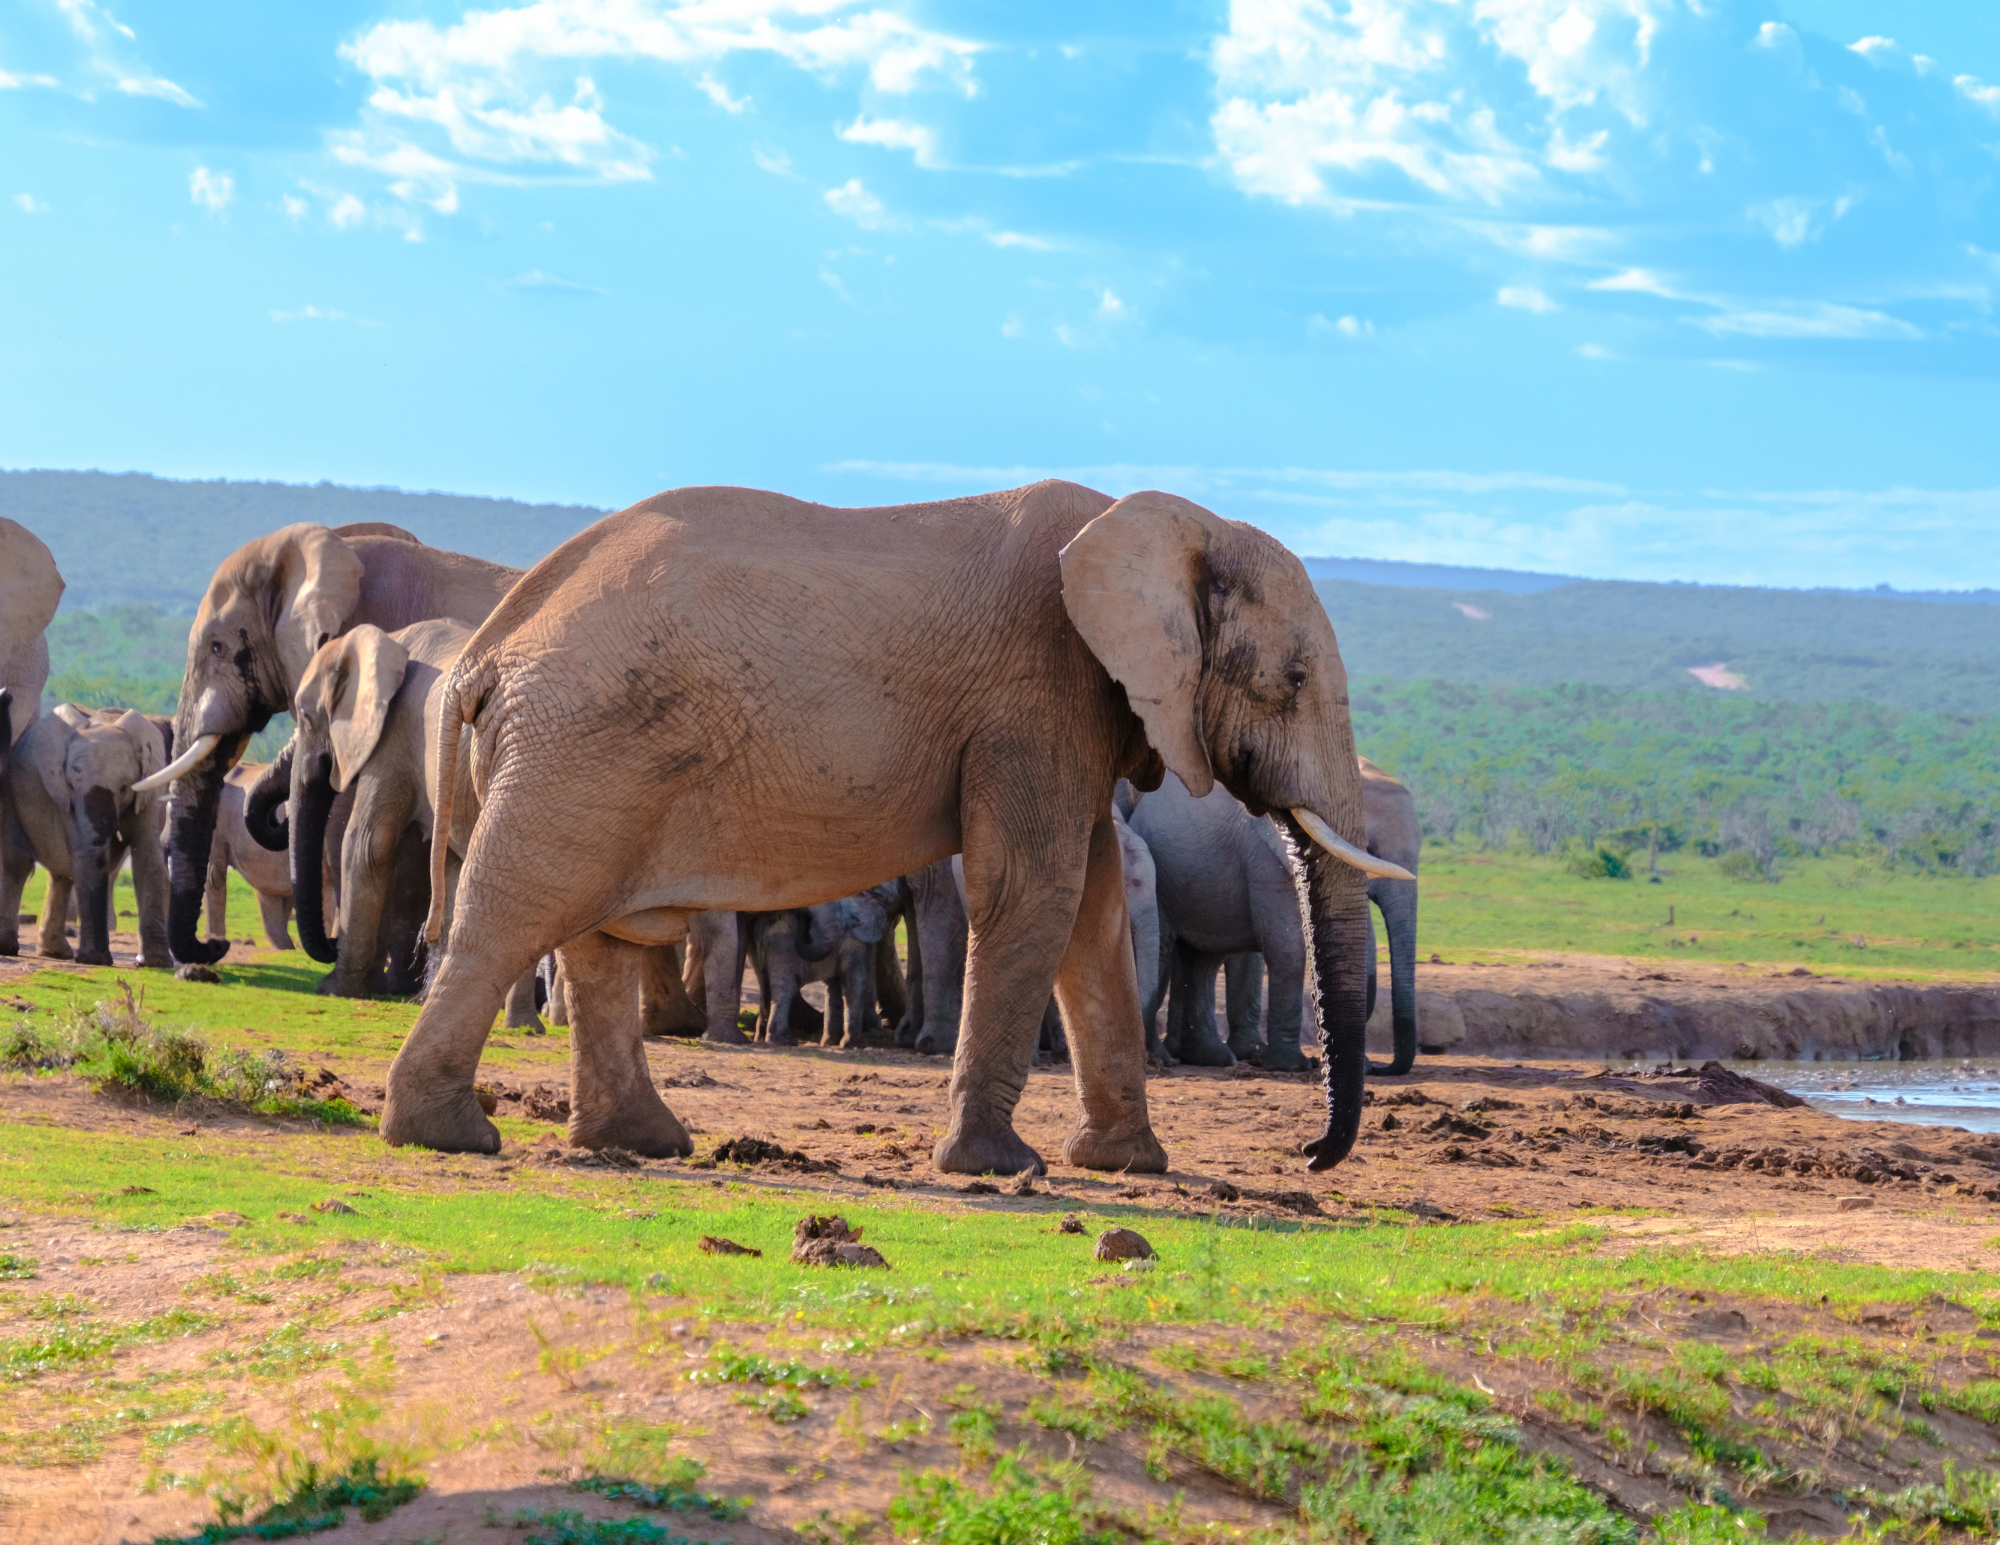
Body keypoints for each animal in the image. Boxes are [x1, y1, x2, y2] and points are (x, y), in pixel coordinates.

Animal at [1, 705, 171, 968]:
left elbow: (148, 854)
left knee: (60, 874)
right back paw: (9, 948)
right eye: (72, 785)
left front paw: (155, 963)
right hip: (12, 795)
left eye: (125, 788)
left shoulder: (151, 788)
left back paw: (56, 953)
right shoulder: (64, 796)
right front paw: (94, 961)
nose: (114, 831)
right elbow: (82, 853)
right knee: (18, 863)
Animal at [385, 480, 1404, 1177]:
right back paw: (451, 1136)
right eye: (1294, 681)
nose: (1309, 1153)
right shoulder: (1036, 693)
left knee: (599, 936)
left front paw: (1127, 1164)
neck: (1159, 521)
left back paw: (644, 1143)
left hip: (590, 754)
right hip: (578, 746)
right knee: (513, 919)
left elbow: (1096, 912)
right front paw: (1002, 1167)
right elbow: (1035, 890)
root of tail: (490, 641)